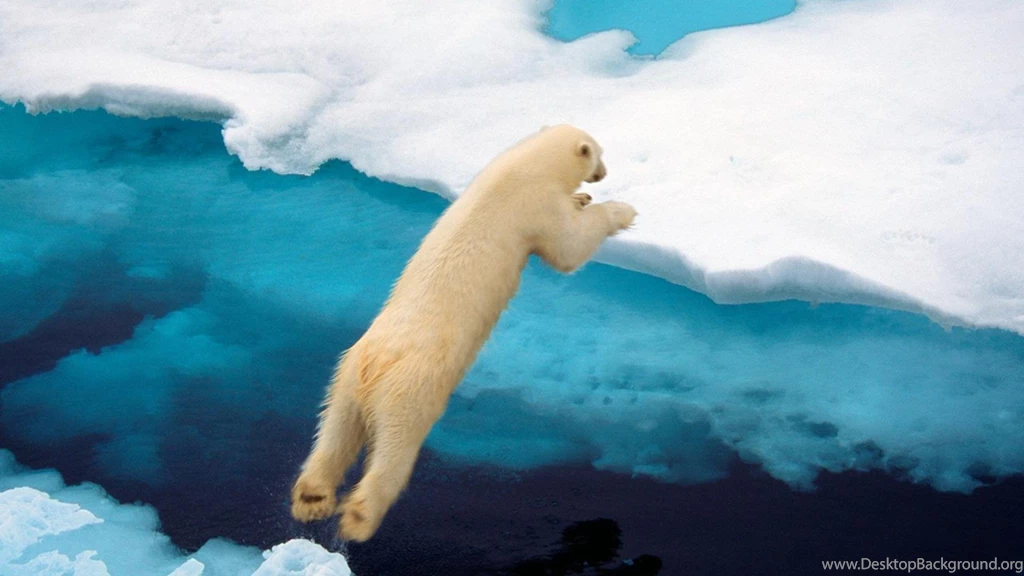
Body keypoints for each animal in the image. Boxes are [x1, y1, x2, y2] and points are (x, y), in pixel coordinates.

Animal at [290, 125, 636, 542]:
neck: (523, 165)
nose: (602, 173)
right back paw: (359, 517)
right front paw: (622, 211)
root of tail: (376, 367)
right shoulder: (536, 207)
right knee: (394, 448)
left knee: (334, 432)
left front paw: (582, 198)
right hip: (411, 389)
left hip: (345, 377)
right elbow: (569, 248)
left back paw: (312, 498)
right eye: (599, 153)